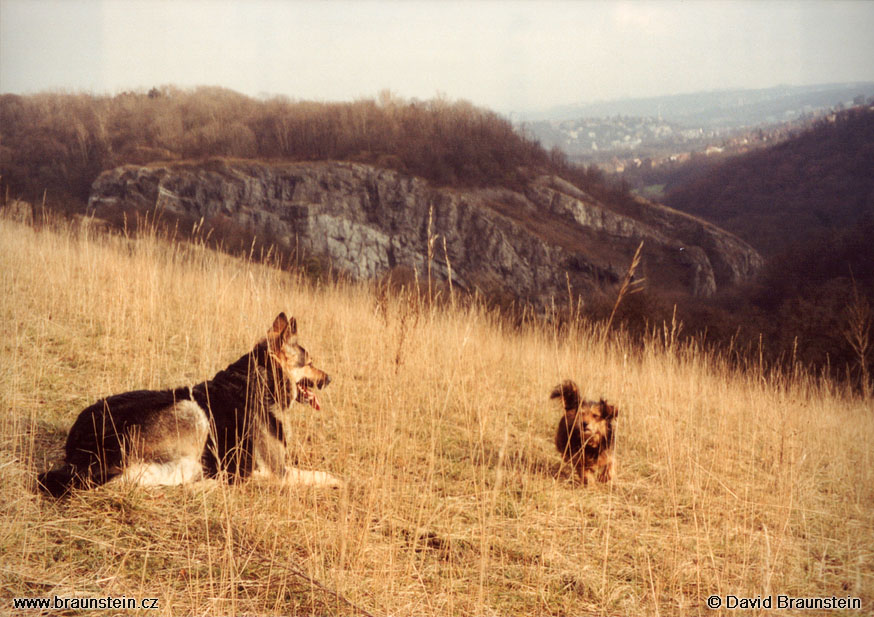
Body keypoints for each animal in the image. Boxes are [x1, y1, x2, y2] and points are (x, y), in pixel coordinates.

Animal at [37, 312, 338, 496]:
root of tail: (78, 450)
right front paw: (337, 481)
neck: (261, 379)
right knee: (137, 481)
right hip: (193, 413)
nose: (330, 378)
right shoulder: (277, 472)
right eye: (310, 363)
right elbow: (315, 474)